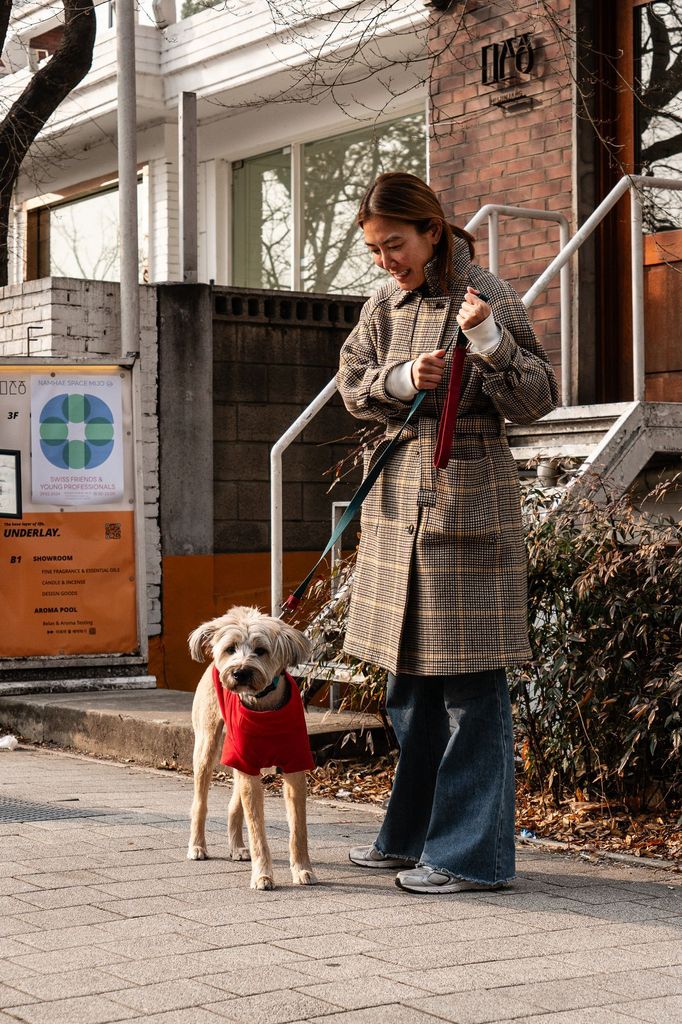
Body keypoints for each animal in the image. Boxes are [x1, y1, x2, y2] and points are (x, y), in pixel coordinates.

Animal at [184, 606, 315, 888]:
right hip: (207, 747)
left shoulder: (294, 768)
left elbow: (298, 829)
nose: (240, 672)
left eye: (261, 650)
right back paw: (197, 845)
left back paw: (236, 846)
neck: (265, 707)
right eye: (231, 648)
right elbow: (257, 831)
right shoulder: (245, 763)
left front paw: (302, 869)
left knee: (234, 805)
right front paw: (263, 874)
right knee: (200, 802)